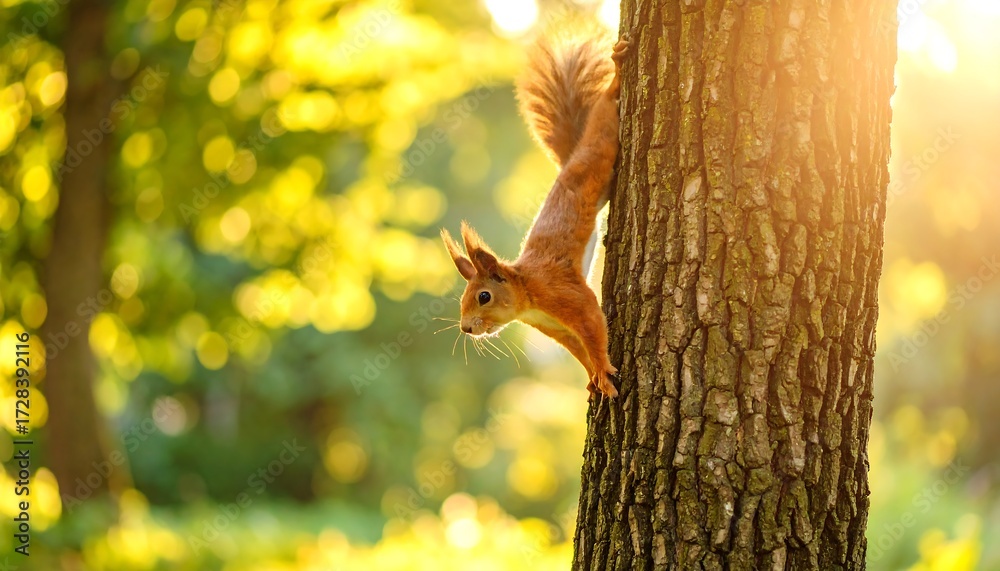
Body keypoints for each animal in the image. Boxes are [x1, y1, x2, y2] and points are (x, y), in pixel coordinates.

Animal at [440, 34, 630, 398]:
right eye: (462, 299)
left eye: (483, 296)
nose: (466, 328)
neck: (527, 295)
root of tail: (571, 158)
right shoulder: (553, 327)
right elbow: (577, 348)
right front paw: (592, 378)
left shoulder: (564, 294)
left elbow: (592, 327)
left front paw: (603, 371)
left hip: (598, 153)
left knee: (603, 119)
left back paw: (616, 76)